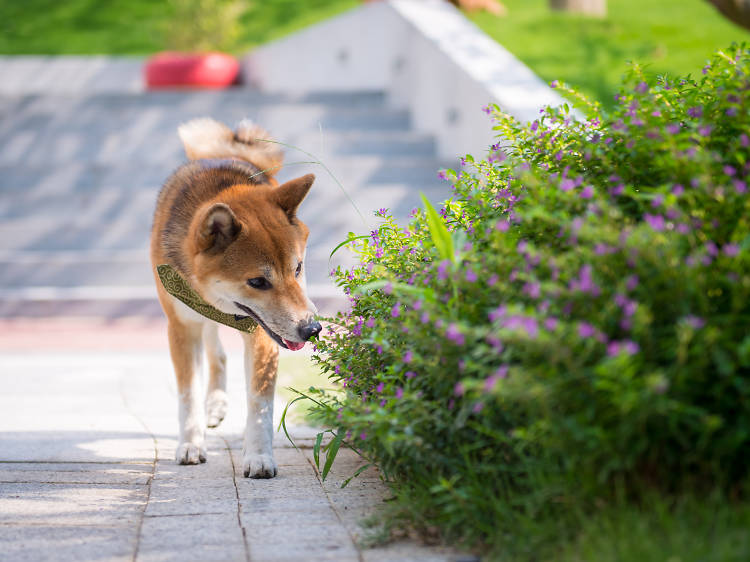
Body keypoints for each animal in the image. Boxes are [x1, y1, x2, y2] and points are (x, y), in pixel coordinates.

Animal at [150, 118, 320, 476]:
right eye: (257, 281)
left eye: (297, 268)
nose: (312, 329)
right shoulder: (181, 325)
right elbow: (188, 394)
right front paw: (190, 444)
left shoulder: (263, 334)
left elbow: (260, 404)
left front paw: (258, 456)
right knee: (214, 349)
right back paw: (213, 404)